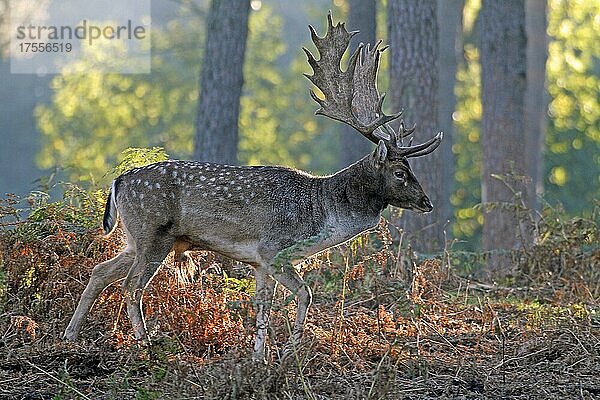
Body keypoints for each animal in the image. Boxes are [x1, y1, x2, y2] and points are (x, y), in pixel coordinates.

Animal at [63, 13, 442, 362]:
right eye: (400, 172)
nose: (427, 202)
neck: (321, 214)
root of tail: (119, 180)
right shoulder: (275, 250)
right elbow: (304, 295)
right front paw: (289, 351)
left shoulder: (259, 262)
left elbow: (262, 304)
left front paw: (259, 357)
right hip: (153, 233)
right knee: (131, 285)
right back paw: (145, 343)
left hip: (135, 237)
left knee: (101, 271)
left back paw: (70, 335)